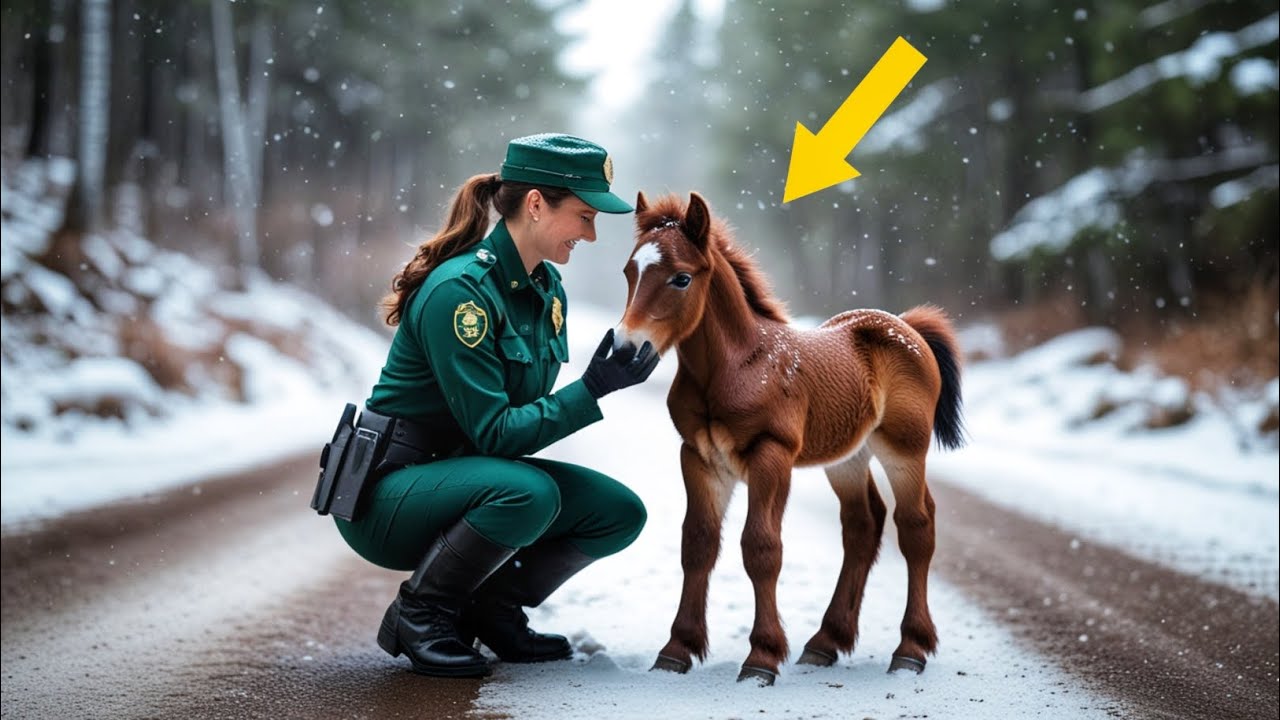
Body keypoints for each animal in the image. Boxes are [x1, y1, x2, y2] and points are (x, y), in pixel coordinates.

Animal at [612, 191, 965, 686]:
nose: (625, 350)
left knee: (916, 525)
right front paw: (677, 650)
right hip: (847, 458)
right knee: (862, 524)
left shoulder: (771, 455)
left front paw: (761, 657)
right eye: (630, 271)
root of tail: (907, 325)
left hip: (905, 449)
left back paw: (910, 649)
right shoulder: (698, 457)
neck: (735, 367)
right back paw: (825, 642)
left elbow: (761, 547)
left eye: (681, 278)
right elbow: (698, 543)